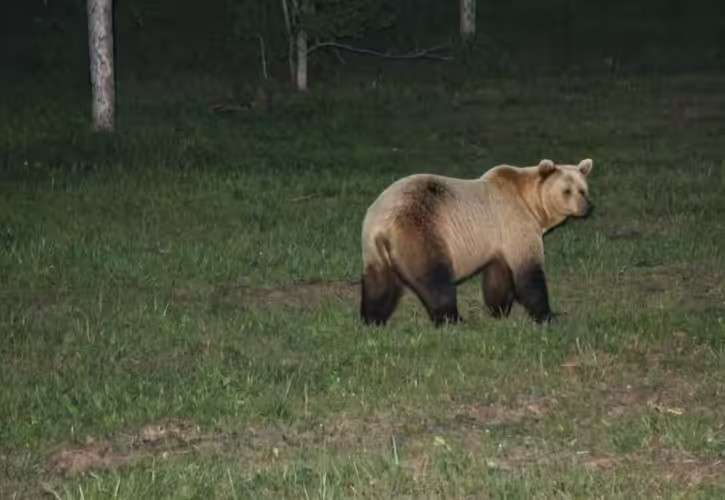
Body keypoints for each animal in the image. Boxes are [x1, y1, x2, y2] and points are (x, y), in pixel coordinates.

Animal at [360, 158, 594, 326]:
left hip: (373, 249)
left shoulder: (499, 239)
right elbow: (529, 275)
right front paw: (548, 315)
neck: (532, 205)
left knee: (379, 284)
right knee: (435, 280)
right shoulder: (516, 223)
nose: (587, 207)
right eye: (567, 190)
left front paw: (499, 310)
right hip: (421, 231)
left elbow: (498, 276)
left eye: (584, 189)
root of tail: (382, 224)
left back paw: (372, 319)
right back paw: (453, 319)